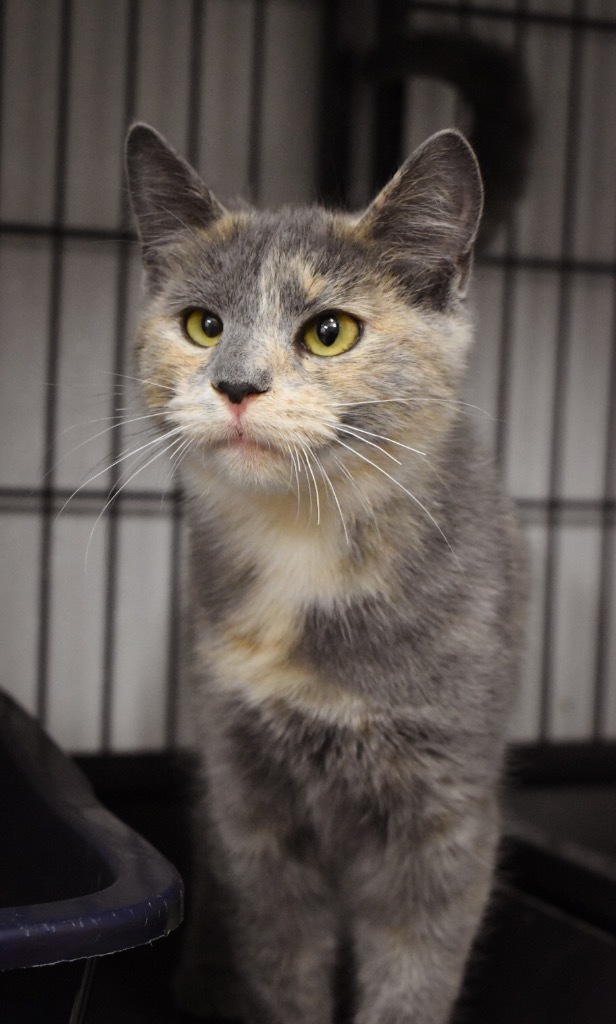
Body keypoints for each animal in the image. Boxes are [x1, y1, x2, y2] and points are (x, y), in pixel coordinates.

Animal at [124, 121, 521, 1024]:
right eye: (203, 325)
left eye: (329, 331)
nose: (236, 384)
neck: (301, 546)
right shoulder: (248, 802)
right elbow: (280, 964)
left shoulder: (445, 812)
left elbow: (414, 970)